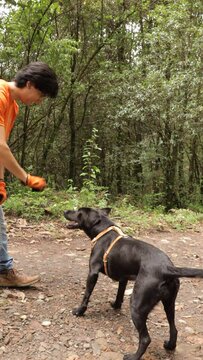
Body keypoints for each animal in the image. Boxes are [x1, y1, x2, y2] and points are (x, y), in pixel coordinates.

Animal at [64, 208, 203, 360]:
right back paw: (170, 346)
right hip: (169, 303)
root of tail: (166, 268)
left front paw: (79, 311)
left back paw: (133, 356)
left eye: (79, 211)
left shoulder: (92, 272)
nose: (65, 211)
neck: (103, 231)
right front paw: (116, 306)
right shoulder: (123, 278)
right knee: (174, 328)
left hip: (137, 305)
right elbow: (119, 294)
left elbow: (86, 295)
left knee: (146, 339)